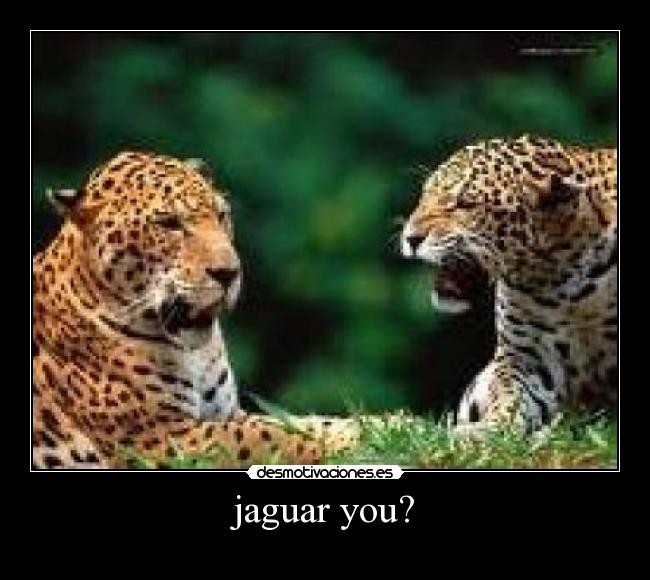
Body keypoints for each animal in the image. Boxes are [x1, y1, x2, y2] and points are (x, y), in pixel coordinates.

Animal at [32, 151, 357, 469]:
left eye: (222, 215)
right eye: (169, 223)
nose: (229, 273)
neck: (193, 353)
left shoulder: (227, 413)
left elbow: (296, 422)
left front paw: (362, 424)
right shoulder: (158, 439)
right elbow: (272, 436)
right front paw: (345, 439)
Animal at [401, 134, 617, 433]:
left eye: (465, 203)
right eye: (424, 196)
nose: (409, 238)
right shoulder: (525, 356)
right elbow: (509, 395)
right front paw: (491, 428)